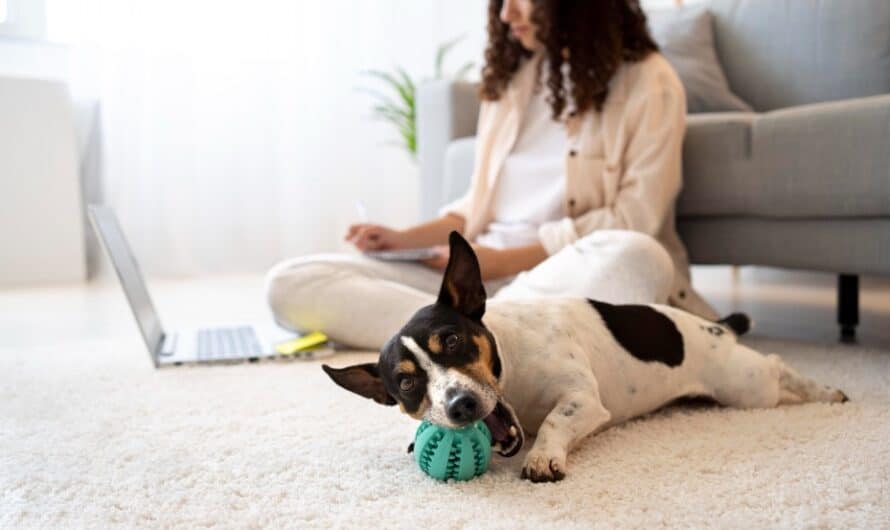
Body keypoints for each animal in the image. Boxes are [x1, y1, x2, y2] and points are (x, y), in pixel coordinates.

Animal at [320, 231, 848, 478]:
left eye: (451, 341)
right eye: (407, 384)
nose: (460, 406)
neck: (512, 374)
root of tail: (714, 327)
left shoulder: (582, 400)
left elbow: (557, 421)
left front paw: (543, 457)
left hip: (744, 387)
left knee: (777, 368)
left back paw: (826, 390)